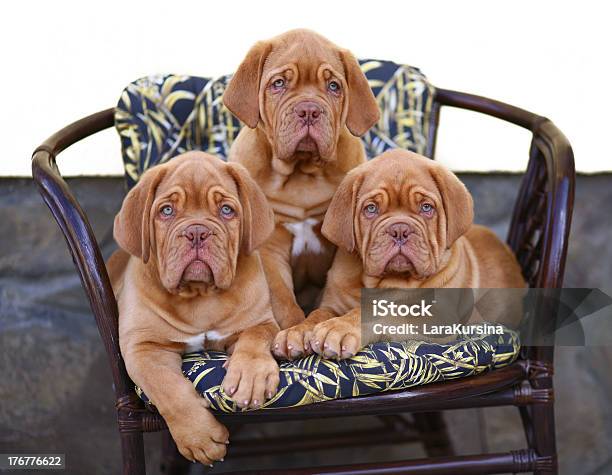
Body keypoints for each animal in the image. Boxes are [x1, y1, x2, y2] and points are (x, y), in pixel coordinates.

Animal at [109, 152, 280, 464]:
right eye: (166, 211)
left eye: (226, 210)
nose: (197, 231)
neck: (199, 294)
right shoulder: (143, 346)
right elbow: (167, 387)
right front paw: (199, 436)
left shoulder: (260, 322)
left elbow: (254, 340)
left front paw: (251, 376)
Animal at [222, 27, 380, 330]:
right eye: (279, 83)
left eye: (334, 86)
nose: (309, 110)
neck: (301, 173)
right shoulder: (269, 246)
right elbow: (282, 300)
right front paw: (293, 329)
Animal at [274, 151, 524, 358]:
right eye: (371, 209)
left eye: (426, 207)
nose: (400, 230)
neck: (382, 283)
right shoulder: (332, 304)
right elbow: (317, 314)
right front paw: (298, 331)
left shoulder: (433, 318)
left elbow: (380, 312)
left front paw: (339, 327)